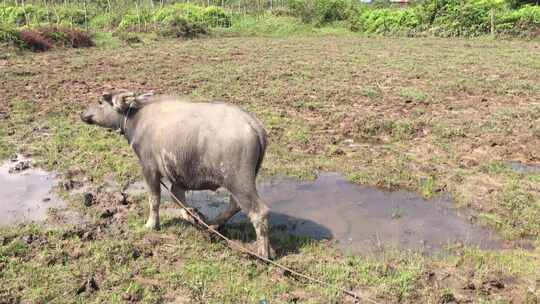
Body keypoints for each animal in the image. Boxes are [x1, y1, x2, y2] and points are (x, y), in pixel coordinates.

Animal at [81, 89, 274, 258]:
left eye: (100, 102)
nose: (83, 114)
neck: (137, 119)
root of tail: (254, 125)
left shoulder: (149, 168)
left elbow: (155, 199)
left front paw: (151, 224)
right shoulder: (178, 176)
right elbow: (177, 196)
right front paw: (192, 215)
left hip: (238, 180)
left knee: (259, 211)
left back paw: (262, 253)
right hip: (242, 181)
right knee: (235, 205)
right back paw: (213, 225)